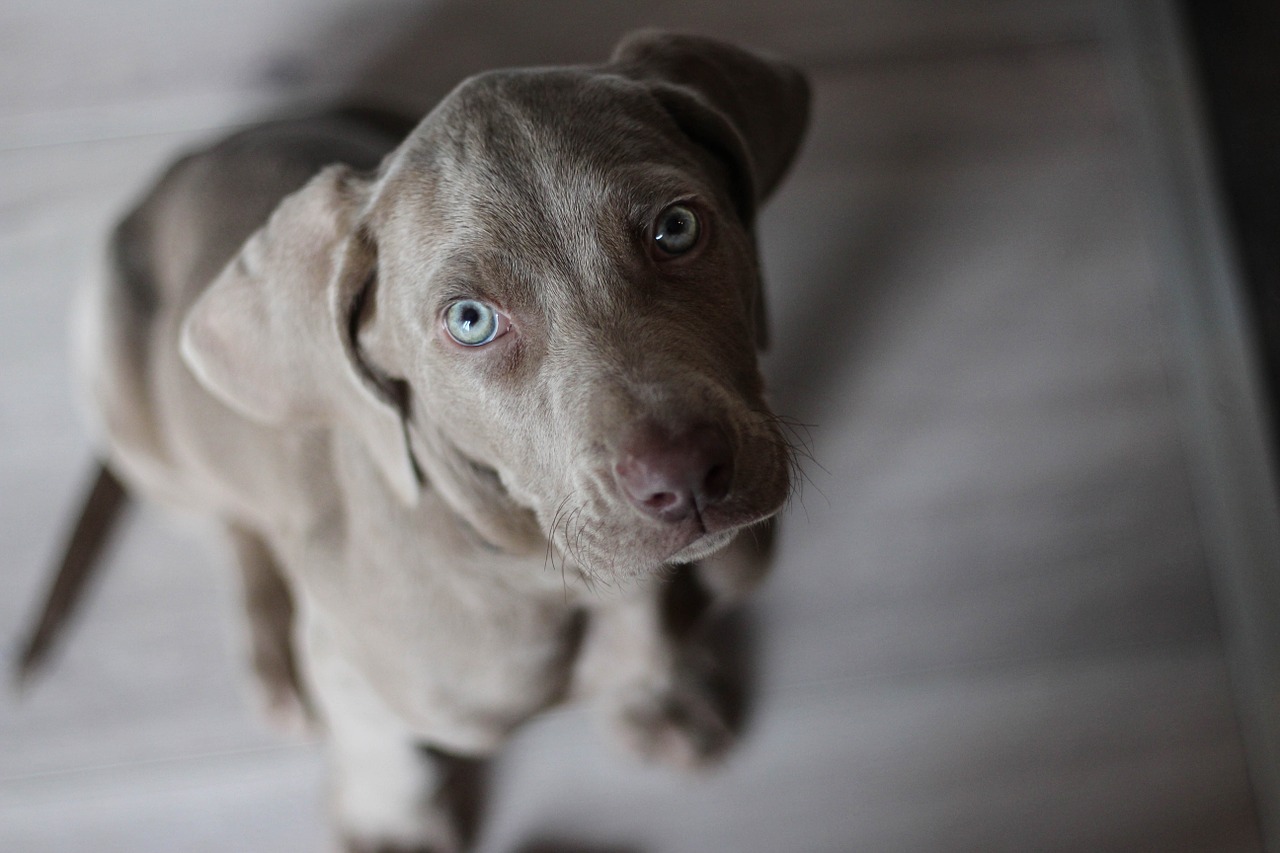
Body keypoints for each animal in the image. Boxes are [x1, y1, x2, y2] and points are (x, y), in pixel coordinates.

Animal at [17, 29, 808, 845]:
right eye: (470, 320)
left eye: (676, 228)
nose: (684, 475)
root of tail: (185, 162)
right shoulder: (353, 671)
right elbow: (384, 748)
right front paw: (391, 824)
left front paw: (657, 698)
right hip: (124, 395)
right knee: (228, 525)